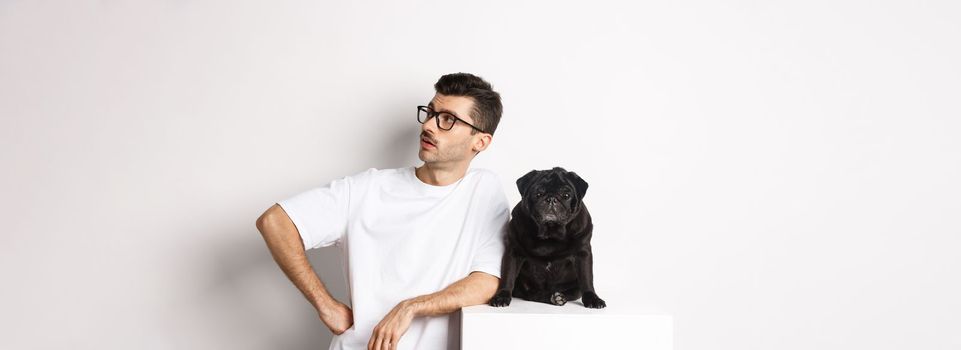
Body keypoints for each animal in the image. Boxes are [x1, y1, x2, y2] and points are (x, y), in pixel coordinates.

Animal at [492, 166, 604, 306]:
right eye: (538, 194)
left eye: (566, 195)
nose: (551, 199)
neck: (550, 233)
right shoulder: (513, 252)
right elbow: (508, 275)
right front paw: (502, 296)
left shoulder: (583, 254)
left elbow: (586, 278)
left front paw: (592, 299)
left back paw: (558, 298)